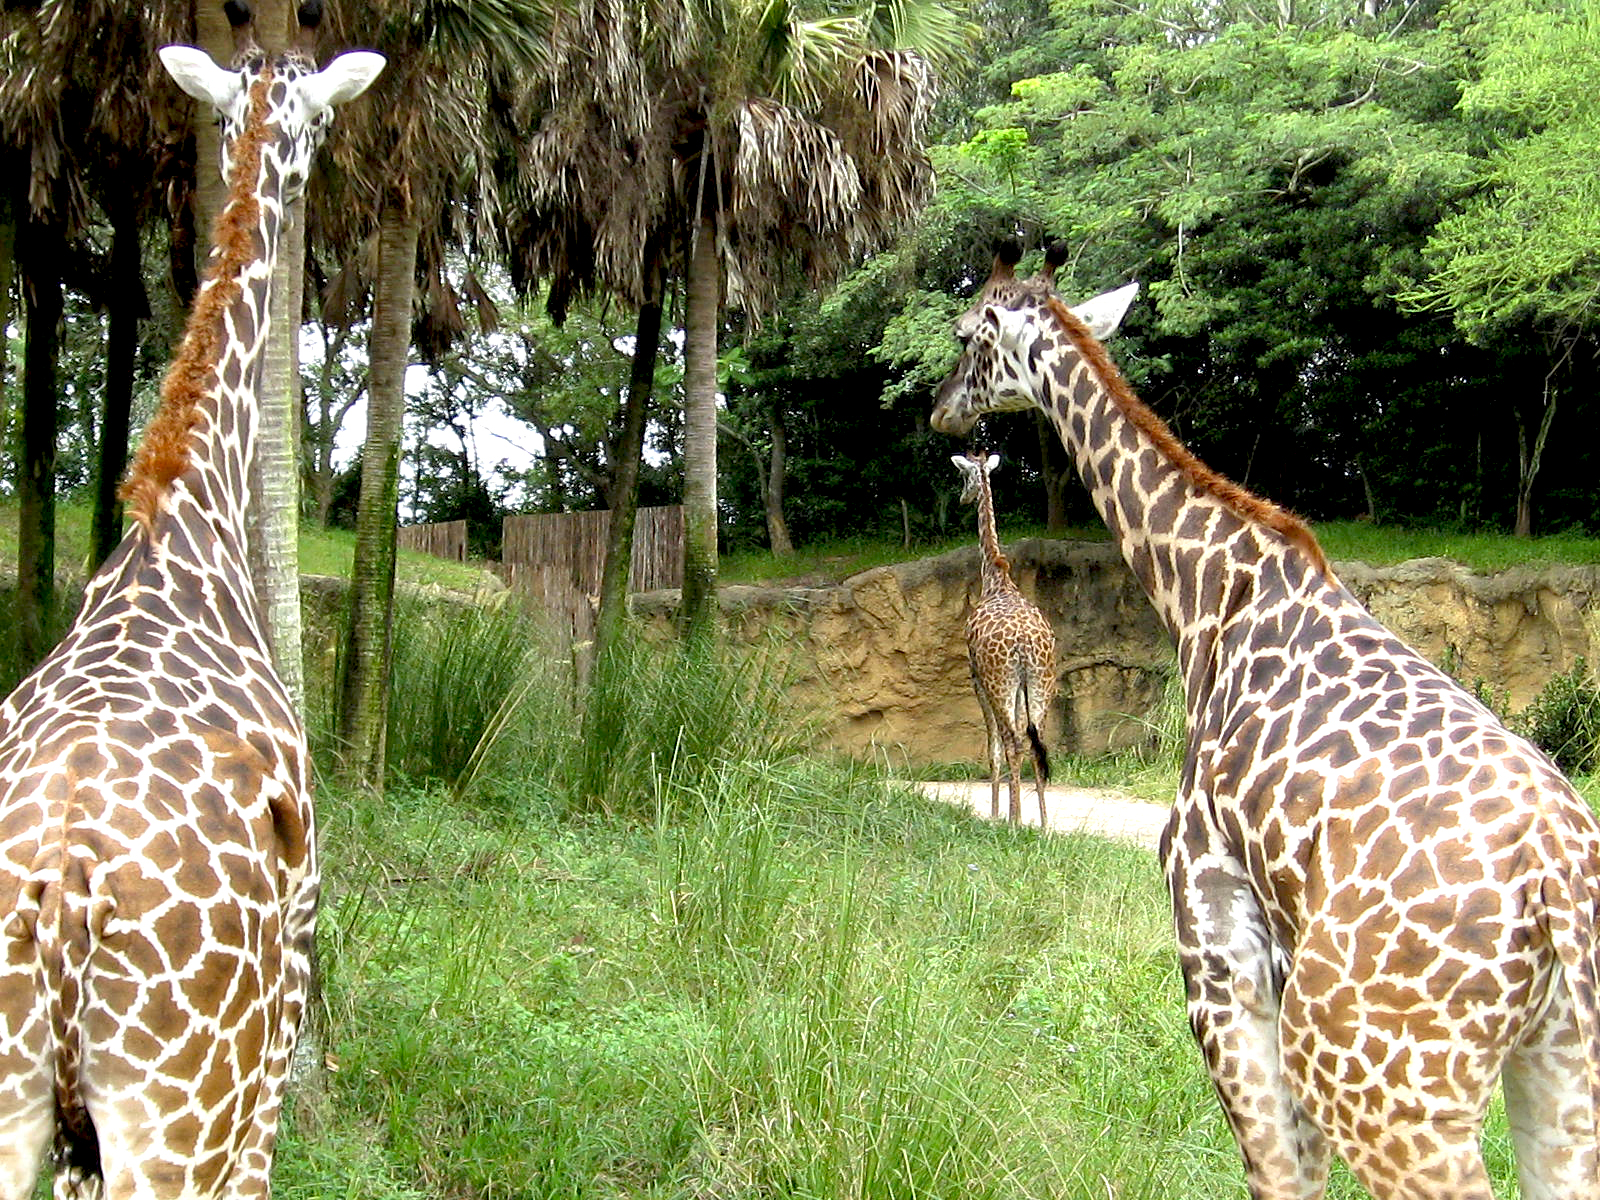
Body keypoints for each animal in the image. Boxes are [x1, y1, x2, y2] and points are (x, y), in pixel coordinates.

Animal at [953, 451, 1056, 825]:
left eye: (963, 477)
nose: (961, 498)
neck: (996, 579)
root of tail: (1024, 644)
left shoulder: (977, 677)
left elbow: (992, 744)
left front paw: (998, 814)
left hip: (1001, 681)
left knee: (1012, 738)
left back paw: (1013, 821)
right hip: (1041, 682)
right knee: (1035, 740)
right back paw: (1042, 823)